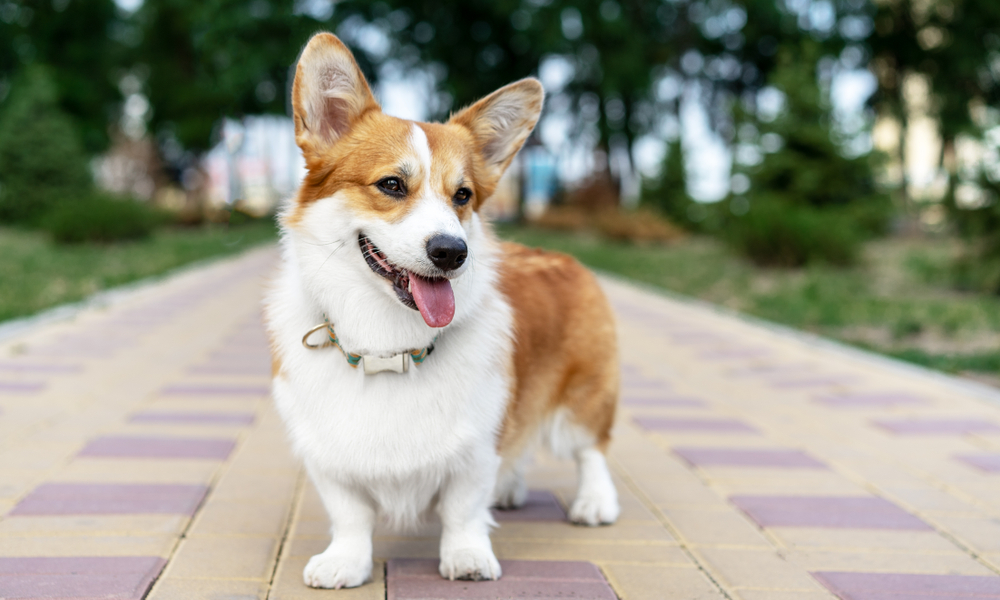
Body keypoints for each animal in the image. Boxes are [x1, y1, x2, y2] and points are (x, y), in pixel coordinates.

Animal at [266, 30, 620, 588]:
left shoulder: (475, 443)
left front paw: (468, 557)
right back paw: (510, 488)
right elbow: (350, 513)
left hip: (584, 397)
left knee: (592, 449)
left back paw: (595, 502)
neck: (387, 344)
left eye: (463, 195)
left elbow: (463, 508)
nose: (453, 252)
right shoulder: (327, 452)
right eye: (391, 184)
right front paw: (345, 561)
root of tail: (562, 255)